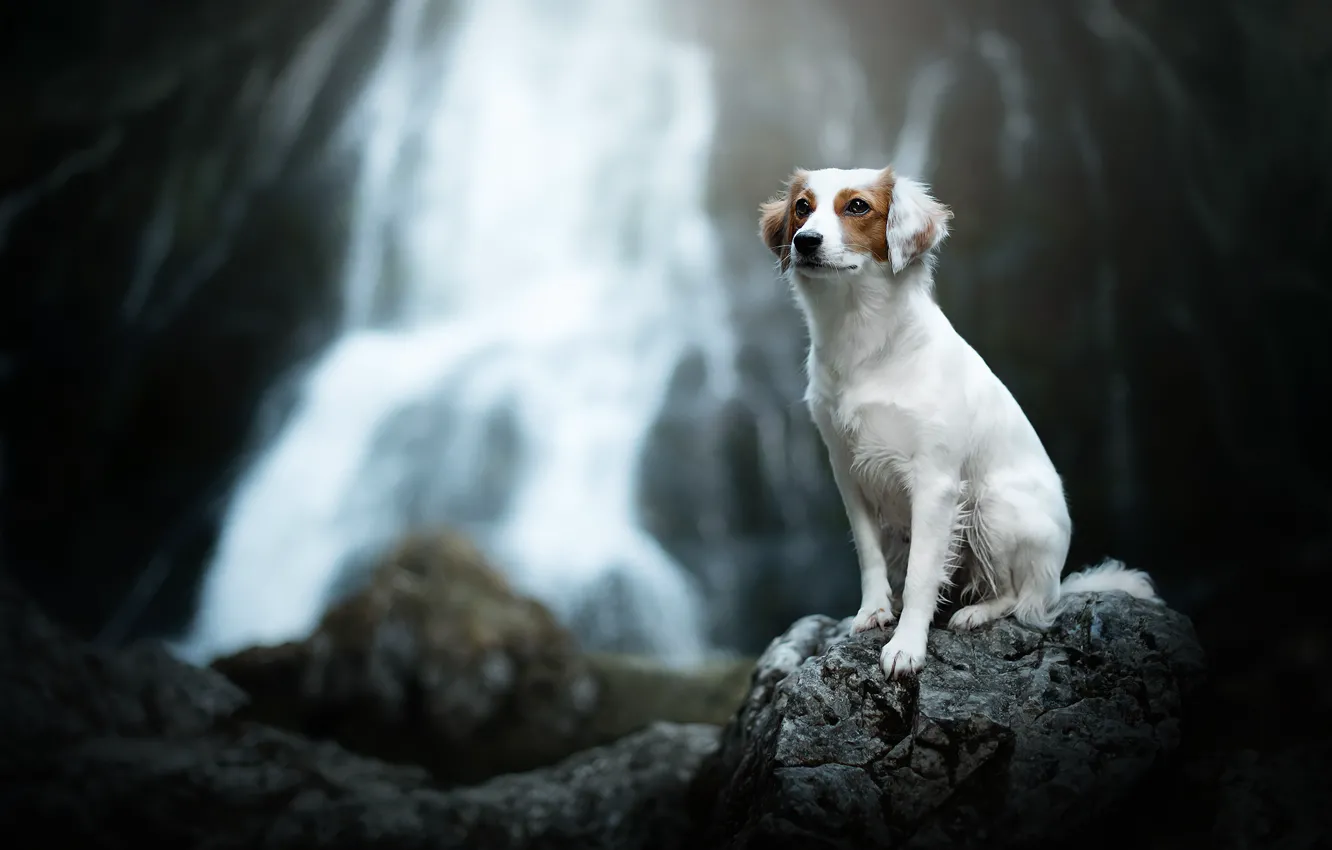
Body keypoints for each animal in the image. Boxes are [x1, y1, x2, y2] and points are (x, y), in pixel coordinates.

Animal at [761, 169, 1156, 682]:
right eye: (803, 208)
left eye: (858, 207)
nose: (805, 241)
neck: (864, 340)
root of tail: (1058, 578)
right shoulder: (848, 474)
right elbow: (870, 558)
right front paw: (873, 612)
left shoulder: (935, 482)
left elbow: (920, 578)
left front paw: (906, 645)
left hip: (993, 509)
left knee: (1024, 600)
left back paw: (977, 612)